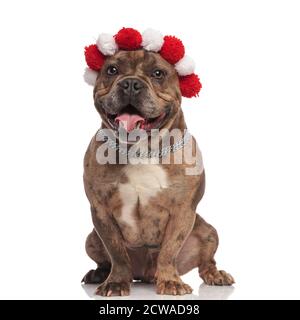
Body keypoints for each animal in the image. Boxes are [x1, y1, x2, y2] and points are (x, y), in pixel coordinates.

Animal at [82, 41, 234, 296]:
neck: (141, 151)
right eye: (112, 70)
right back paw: (99, 274)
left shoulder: (183, 211)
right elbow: (116, 252)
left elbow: (169, 250)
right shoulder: (101, 211)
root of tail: (144, 275)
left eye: (158, 74)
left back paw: (216, 275)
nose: (131, 84)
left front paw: (171, 282)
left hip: (208, 232)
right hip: (91, 239)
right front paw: (116, 282)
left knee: (206, 261)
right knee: (105, 260)